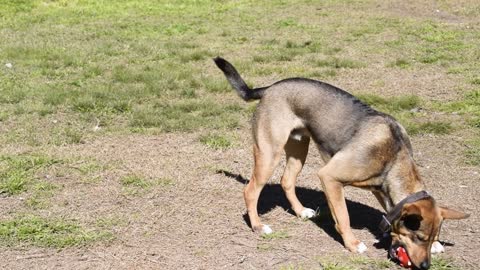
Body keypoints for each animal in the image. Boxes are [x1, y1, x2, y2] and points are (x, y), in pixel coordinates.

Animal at [214, 56, 468, 268]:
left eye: (430, 238)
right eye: (418, 237)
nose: (425, 266)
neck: (394, 155)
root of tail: (269, 88)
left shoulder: (380, 188)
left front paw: (437, 246)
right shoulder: (330, 177)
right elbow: (343, 217)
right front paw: (353, 244)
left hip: (299, 148)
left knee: (286, 181)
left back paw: (301, 212)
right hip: (269, 152)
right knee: (250, 191)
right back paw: (259, 226)